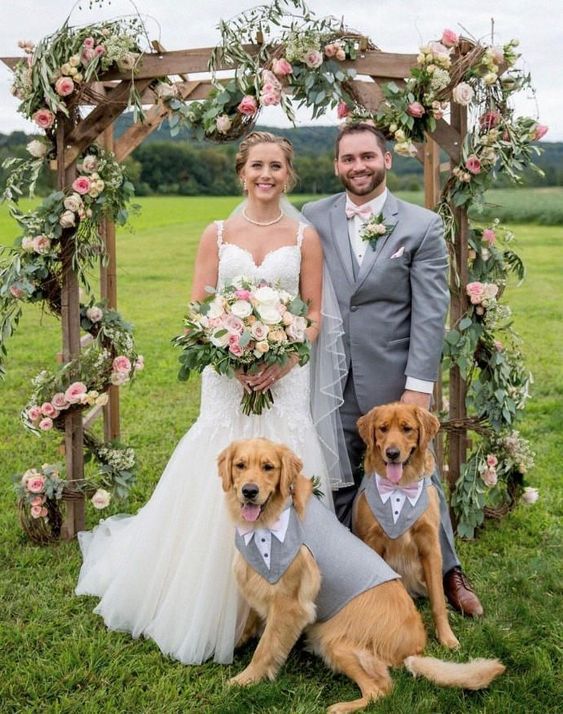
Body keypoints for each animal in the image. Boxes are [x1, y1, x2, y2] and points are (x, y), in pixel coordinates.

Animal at [218, 434, 504, 712]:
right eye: (240, 465)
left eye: (268, 467)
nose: (249, 491)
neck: (275, 517)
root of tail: (414, 649)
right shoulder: (260, 584)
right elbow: (250, 622)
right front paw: (231, 646)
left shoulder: (290, 603)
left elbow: (265, 649)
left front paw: (242, 681)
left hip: (333, 639)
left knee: (381, 690)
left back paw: (340, 707)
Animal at [356, 400, 458, 644]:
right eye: (383, 429)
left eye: (407, 429)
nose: (392, 453)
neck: (399, 488)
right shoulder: (372, 541)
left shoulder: (430, 547)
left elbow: (437, 600)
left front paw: (446, 636)